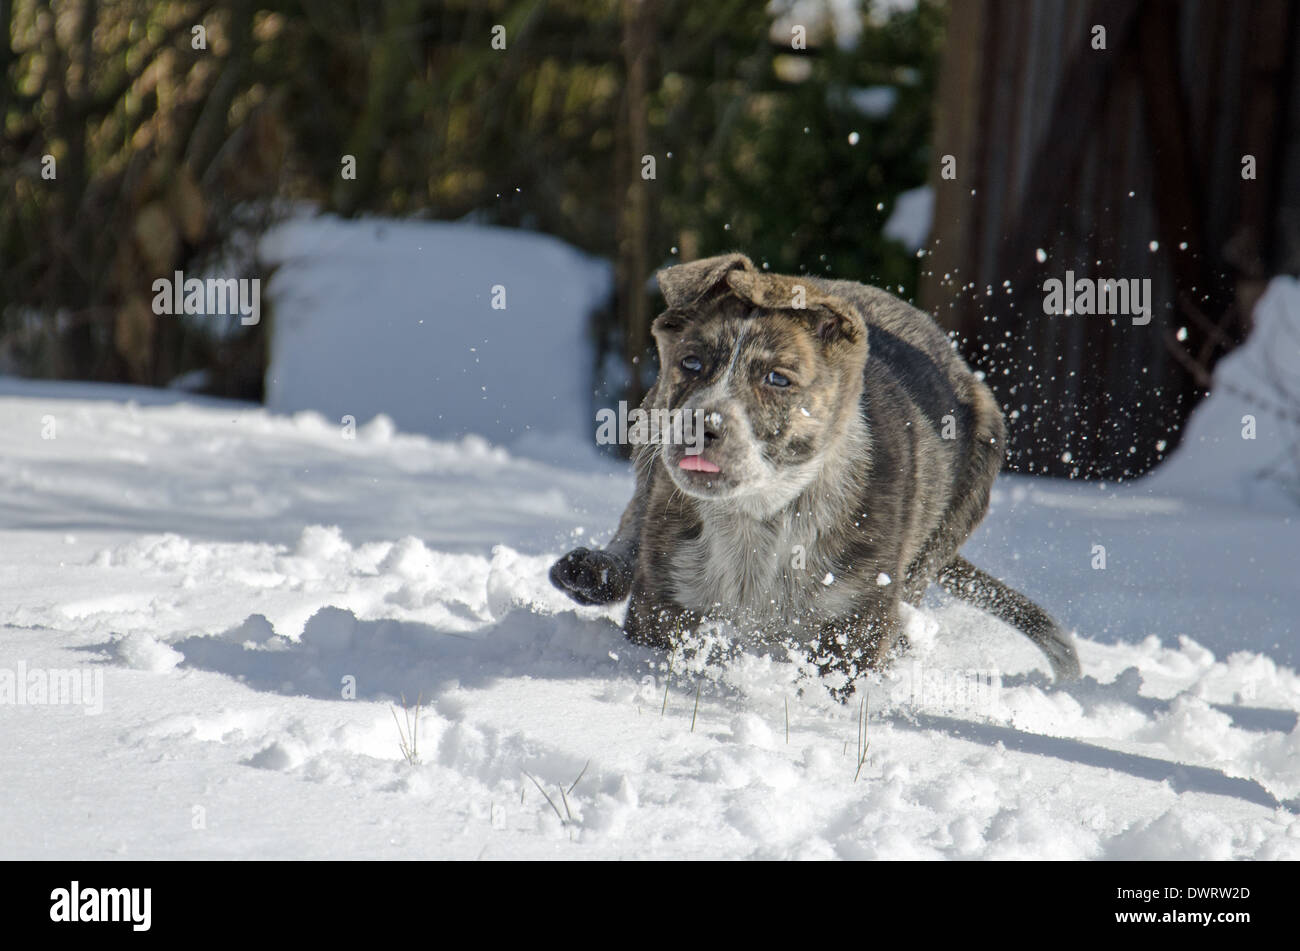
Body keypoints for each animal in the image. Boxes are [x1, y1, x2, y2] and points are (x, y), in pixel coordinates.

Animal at [553, 254, 1081, 691]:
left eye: (777, 380)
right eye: (691, 362)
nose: (702, 426)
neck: (760, 514)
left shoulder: (854, 627)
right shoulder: (664, 601)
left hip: (957, 505)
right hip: (648, 437)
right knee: (634, 514)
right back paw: (594, 570)